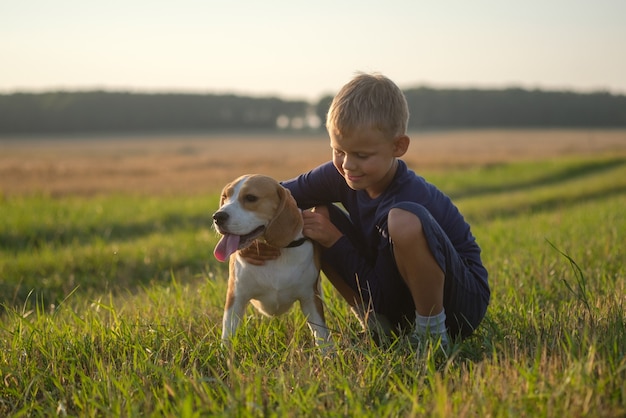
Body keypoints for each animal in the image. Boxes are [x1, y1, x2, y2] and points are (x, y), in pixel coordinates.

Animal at [213, 173, 332, 346]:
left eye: (250, 198)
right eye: (225, 197)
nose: (217, 216)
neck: (278, 250)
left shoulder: (310, 299)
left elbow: (323, 337)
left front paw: (330, 353)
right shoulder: (235, 298)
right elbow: (228, 336)